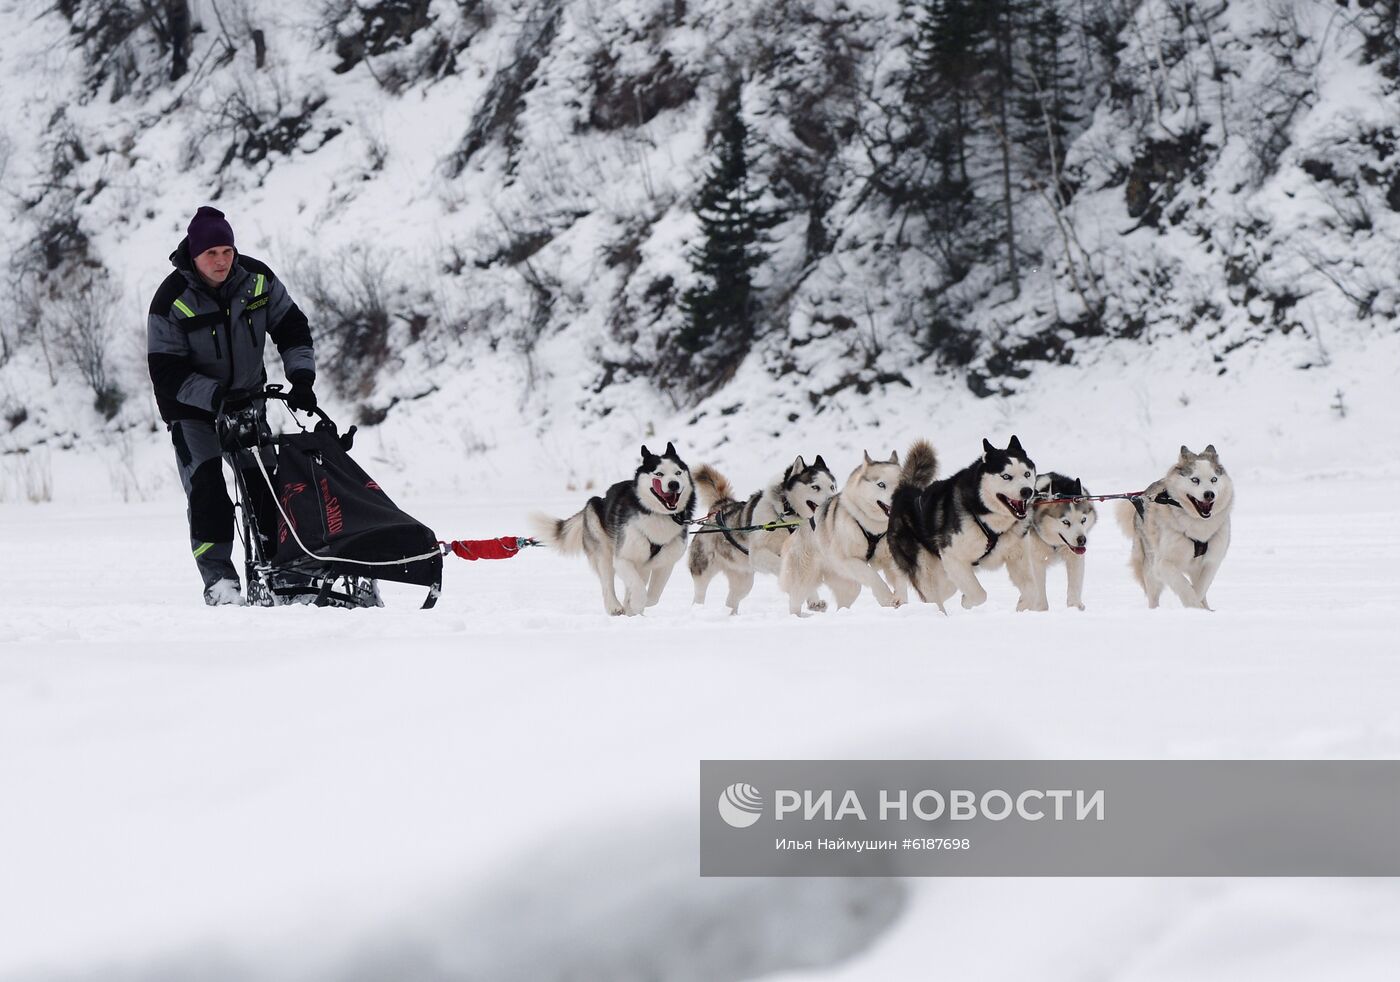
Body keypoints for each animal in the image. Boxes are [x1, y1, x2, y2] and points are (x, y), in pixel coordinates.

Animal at [529, 442, 694, 613]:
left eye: (678, 472)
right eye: (659, 474)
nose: (673, 484)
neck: (658, 515)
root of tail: (602, 499)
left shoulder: (665, 563)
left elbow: (653, 597)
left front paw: (634, 605)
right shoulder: (622, 558)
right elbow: (638, 587)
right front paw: (636, 603)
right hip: (603, 550)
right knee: (607, 583)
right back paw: (614, 606)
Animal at [691, 453, 834, 607]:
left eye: (832, 486)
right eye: (815, 487)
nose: (832, 499)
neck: (787, 519)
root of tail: (721, 508)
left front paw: (814, 600)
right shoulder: (758, 554)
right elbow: (786, 567)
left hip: (743, 583)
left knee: (731, 601)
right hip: (703, 572)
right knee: (699, 595)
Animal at [778, 451, 907, 613]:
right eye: (881, 484)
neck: (874, 528)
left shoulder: (891, 558)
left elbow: (900, 578)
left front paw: (901, 599)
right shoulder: (848, 560)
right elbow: (873, 577)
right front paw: (886, 598)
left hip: (850, 585)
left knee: (842, 604)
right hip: (803, 580)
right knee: (795, 600)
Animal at [890, 434, 1036, 607]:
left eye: (1027, 474)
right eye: (1006, 476)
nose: (1027, 491)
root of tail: (905, 491)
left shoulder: (1017, 556)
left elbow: (1032, 590)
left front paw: (1023, 605)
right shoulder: (953, 556)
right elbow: (979, 594)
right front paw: (967, 602)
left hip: (944, 574)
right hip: (925, 570)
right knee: (931, 595)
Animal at [1114, 442, 1237, 605]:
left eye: (1214, 479)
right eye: (1195, 480)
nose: (1209, 494)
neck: (1198, 525)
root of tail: (1141, 496)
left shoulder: (1211, 562)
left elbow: (1200, 589)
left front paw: (1200, 606)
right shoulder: (1163, 564)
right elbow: (1184, 586)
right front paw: (1193, 605)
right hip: (1150, 569)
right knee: (1153, 596)